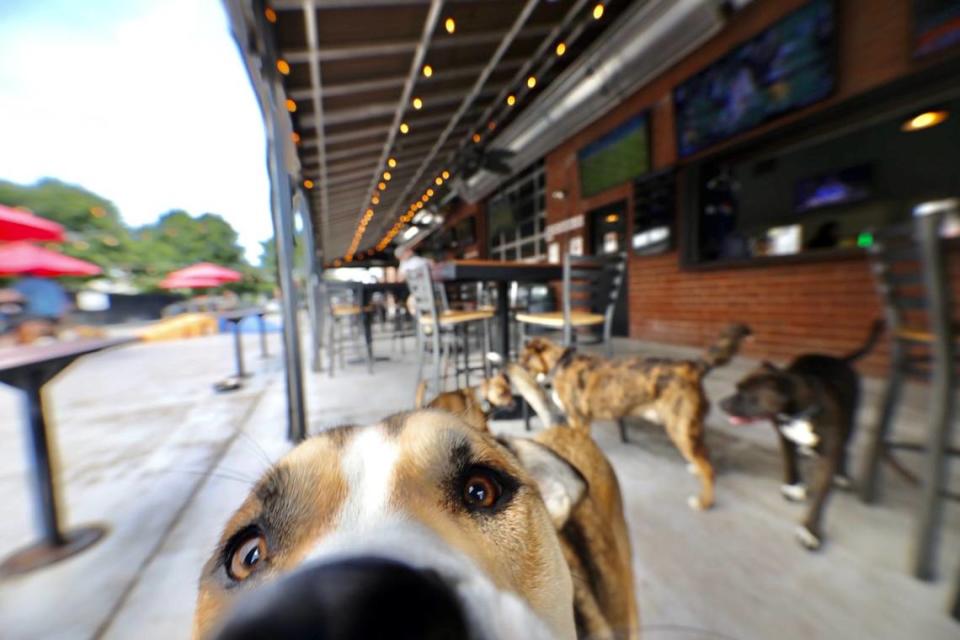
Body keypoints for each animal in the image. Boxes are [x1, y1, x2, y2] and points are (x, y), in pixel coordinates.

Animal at [516, 324, 752, 510]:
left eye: (523, 358)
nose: (512, 370)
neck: (560, 363)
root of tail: (691, 367)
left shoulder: (578, 420)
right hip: (689, 428)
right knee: (704, 456)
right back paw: (695, 468)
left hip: (680, 429)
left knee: (708, 469)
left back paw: (705, 502)